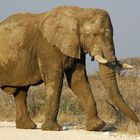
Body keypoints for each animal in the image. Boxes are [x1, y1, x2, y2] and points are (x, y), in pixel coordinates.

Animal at [0, 5, 139, 130]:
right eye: (93, 35)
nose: (137, 124)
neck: (79, 13)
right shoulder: (48, 47)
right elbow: (55, 81)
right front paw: (52, 129)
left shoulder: (76, 47)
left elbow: (78, 81)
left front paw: (96, 126)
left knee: (21, 92)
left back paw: (27, 126)